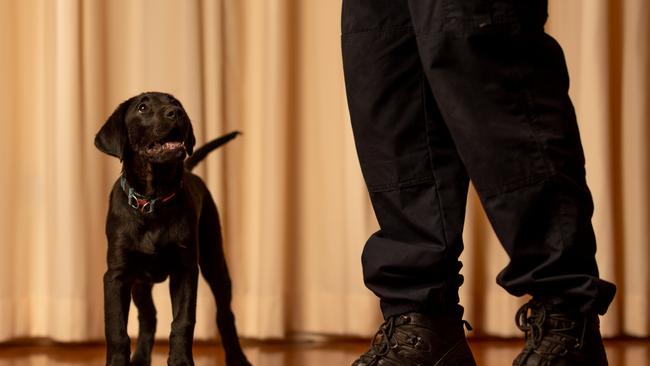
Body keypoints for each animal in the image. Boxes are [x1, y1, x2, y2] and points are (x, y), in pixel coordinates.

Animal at [95, 92, 249, 366]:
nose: (176, 113)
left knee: (225, 314)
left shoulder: (185, 270)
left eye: (176, 103)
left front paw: (180, 361)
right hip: (140, 281)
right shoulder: (117, 275)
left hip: (213, 260)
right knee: (148, 316)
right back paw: (140, 359)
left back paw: (238, 358)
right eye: (142, 108)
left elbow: (183, 322)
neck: (152, 201)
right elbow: (116, 330)